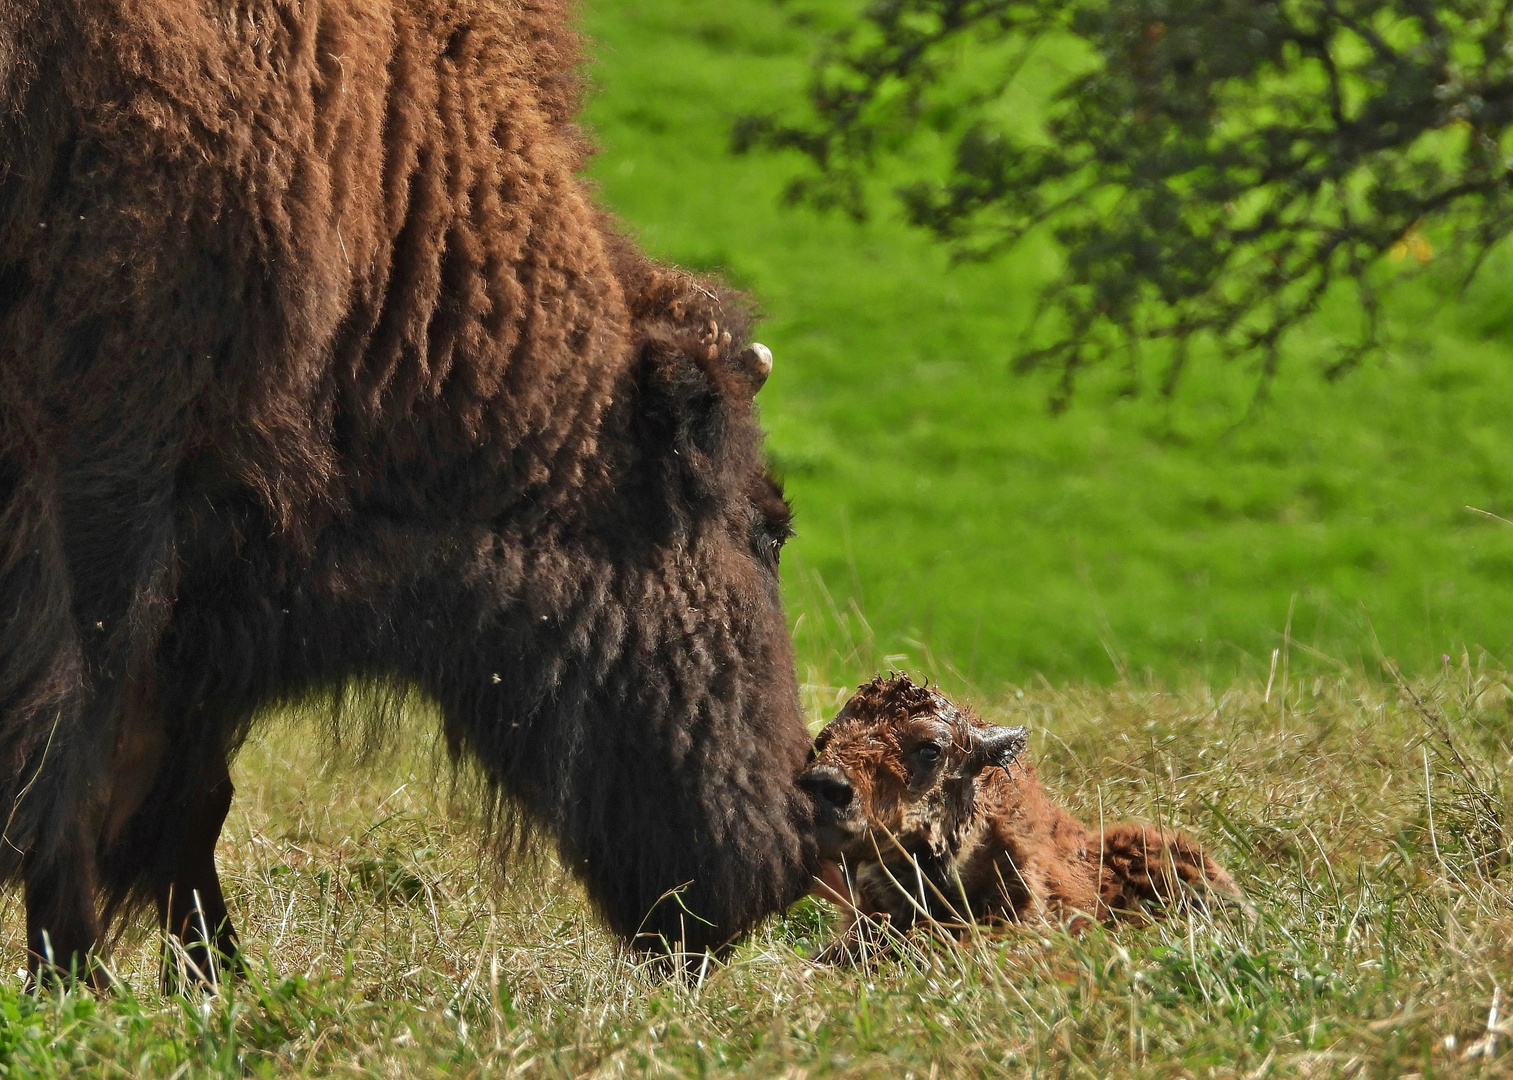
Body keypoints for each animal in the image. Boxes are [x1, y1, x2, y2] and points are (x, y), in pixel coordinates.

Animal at [0, 0, 817, 980]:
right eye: (768, 528)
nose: (797, 844)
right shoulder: (104, 471)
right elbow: (76, 744)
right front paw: (82, 978)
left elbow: (181, 784)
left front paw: (215, 977)